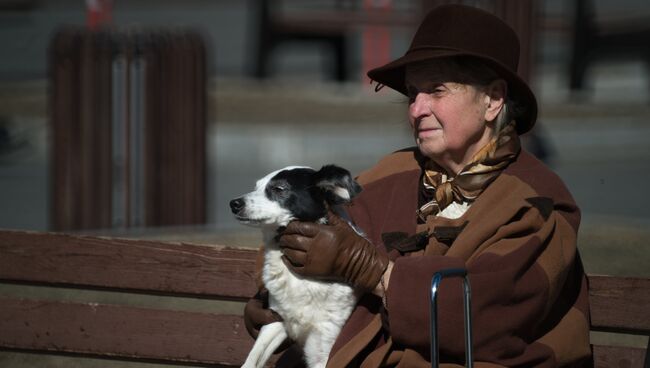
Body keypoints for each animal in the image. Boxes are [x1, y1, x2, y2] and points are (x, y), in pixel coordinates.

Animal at [227, 165, 360, 368]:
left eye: (279, 189)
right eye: (256, 186)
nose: (233, 203)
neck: (301, 278)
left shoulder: (323, 341)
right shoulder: (275, 322)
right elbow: (251, 360)